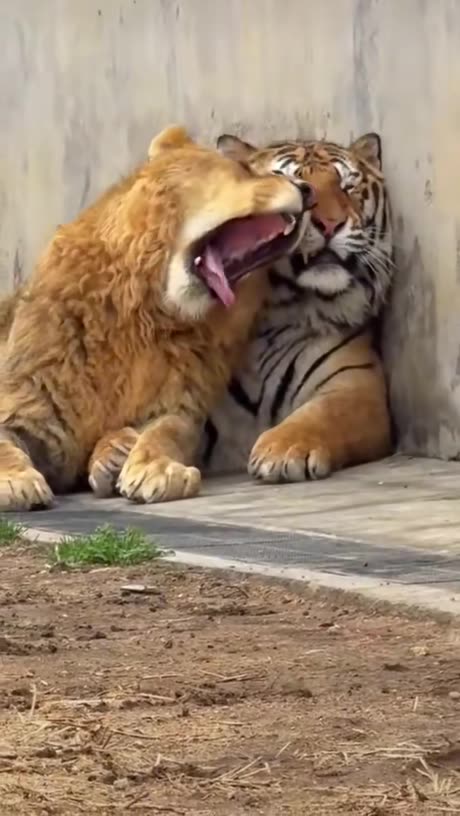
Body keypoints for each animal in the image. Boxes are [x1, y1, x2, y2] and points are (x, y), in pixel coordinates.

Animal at [198, 132, 394, 482]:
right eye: (290, 184)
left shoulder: (356, 385)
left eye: (347, 185)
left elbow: (323, 414)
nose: (330, 224)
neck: (276, 314)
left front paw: (282, 450)